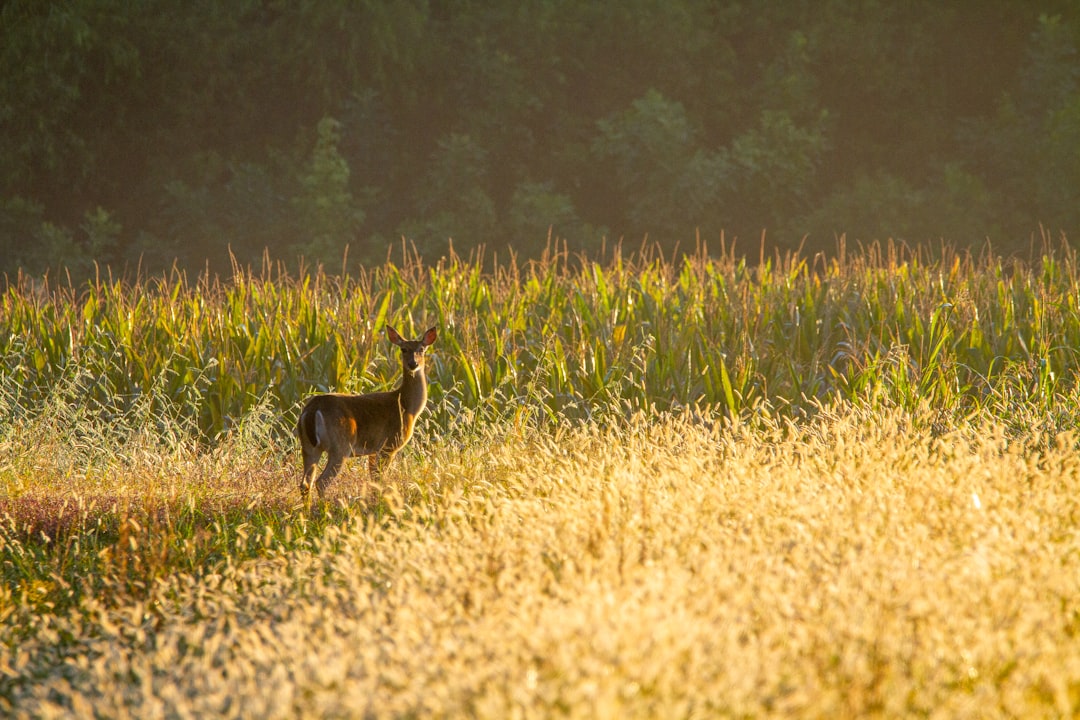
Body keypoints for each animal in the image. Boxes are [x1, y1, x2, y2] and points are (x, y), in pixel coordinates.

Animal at [296, 325, 438, 503]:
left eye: (421, 349)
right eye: (403, 349)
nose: (413, 364)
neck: (407, 406)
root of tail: (312, 409)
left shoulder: (373, 451)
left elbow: (374, 480)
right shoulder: (389, 446)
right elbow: (380, 480)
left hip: (308, 446)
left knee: (305, 483)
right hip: (340, 446)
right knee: (322, 482)